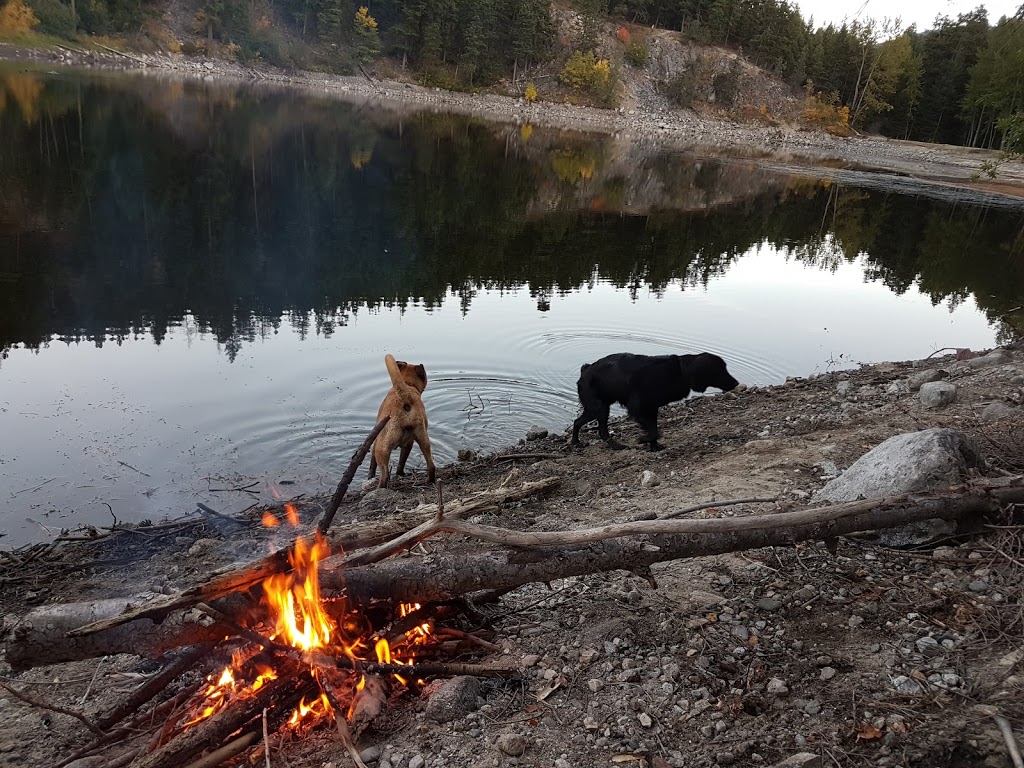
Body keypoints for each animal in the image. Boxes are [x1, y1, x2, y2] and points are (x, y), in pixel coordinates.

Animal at [368, 354, 436, 487]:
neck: (408, 384)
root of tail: (405, 397)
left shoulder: (375, 441)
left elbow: (372, 464)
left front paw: (370, 477)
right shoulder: (408, 444)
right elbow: (401, 462)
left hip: (382, 448)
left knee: (384, 475)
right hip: (423, 441)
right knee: (431, 466)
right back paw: (429, 481)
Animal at [573, 354, 741, 450]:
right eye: (720, 369)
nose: (736, 383)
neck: (680, 372)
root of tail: (585, 370)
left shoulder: (652, 408)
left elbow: (654, 429)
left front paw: (654, 446)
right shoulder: (637, 409)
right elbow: (654, 431)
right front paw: (643, 439)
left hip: (598, 408)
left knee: (578, 422)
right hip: (599, 408)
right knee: (596, 429)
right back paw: (610, 445)